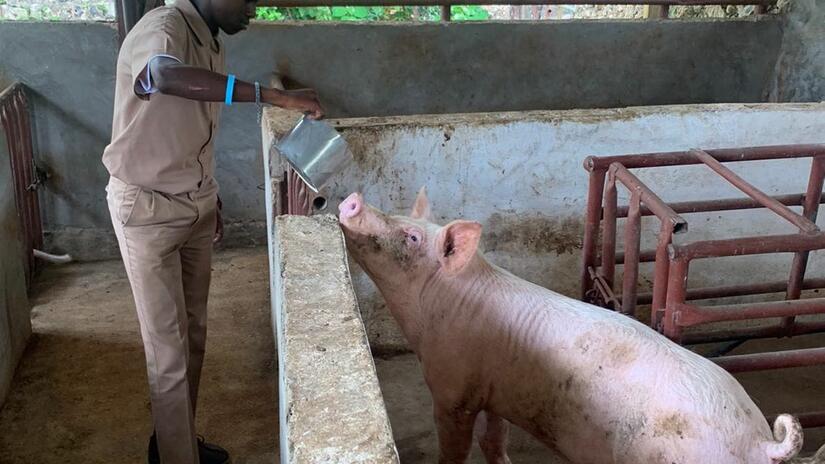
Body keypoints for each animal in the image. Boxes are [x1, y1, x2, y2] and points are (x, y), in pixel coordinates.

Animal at [336, 188, 824, 464]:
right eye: (401, 218)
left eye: (412, 237)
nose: (350, 199)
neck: (433, 309)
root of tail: (762, 443)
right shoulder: (493, 386)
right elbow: (494, 440)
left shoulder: (452, 388)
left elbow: (454, 448)